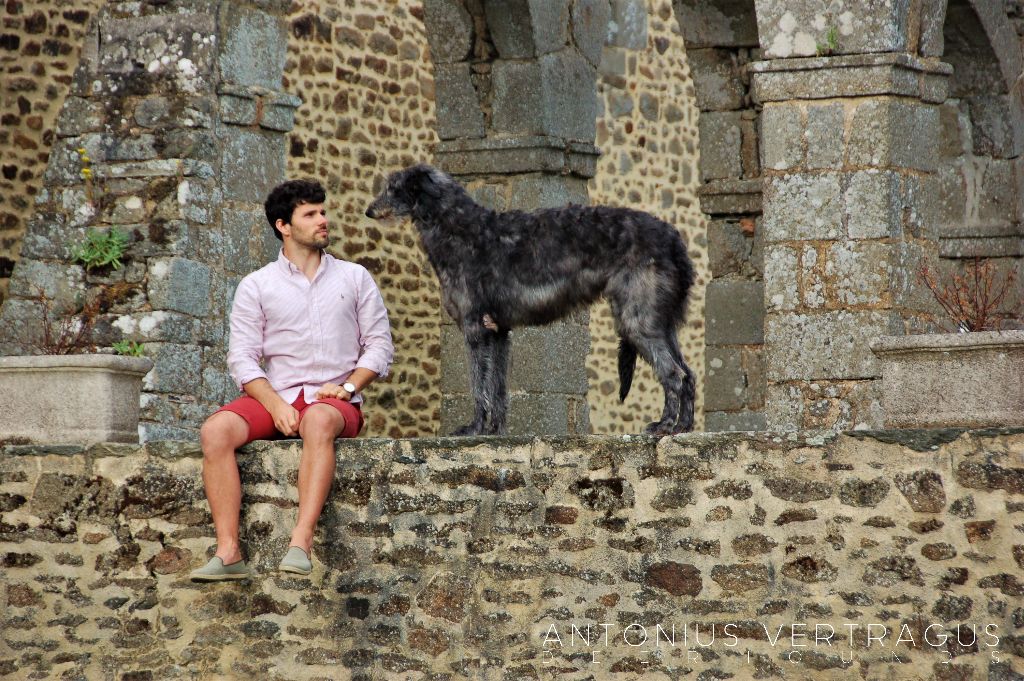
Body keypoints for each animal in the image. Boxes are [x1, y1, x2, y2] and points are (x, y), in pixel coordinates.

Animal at [368, 161, 696, 432]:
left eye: (393, 188)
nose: (369, 211)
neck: (459, 229)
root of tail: (673, 238)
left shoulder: (475, 328)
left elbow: (478, 386)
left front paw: (474, 429)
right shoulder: (498, 332)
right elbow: (497, 388)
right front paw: (494, 431)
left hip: (636, 319)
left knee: (674, 374)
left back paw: (664, 426)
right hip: (660, 321)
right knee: (689, 375)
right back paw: (684, 427)